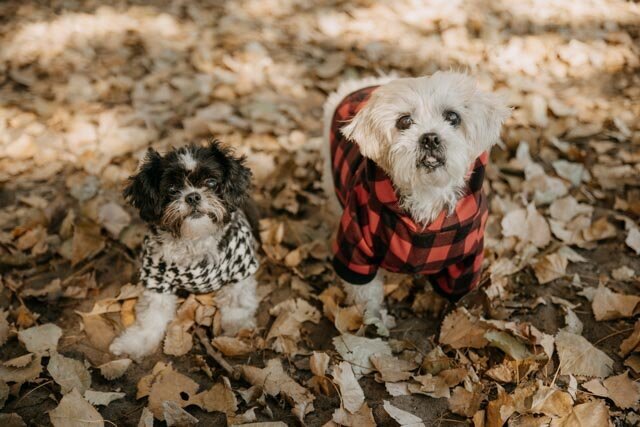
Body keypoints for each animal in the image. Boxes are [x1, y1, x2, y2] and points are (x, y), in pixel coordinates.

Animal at [110, 141, 260, 362]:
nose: (193, 196)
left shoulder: (240, 270)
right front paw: (135, 342)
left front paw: (237, 333)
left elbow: (237, 304)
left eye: (211, 182)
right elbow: (151, 316)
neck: (194, 240)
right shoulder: (157, 281)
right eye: (172, 189)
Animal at [322, 72, 508, 334]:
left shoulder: (467, 259)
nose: (430, 138)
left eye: (453, 117)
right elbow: (367, 294)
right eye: (404, 121)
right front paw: (374, 321)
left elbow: (456, 298)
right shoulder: (356, 247)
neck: (427, 194)